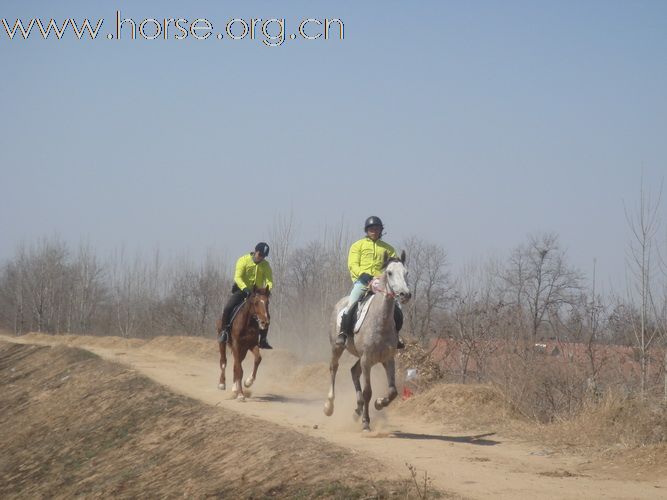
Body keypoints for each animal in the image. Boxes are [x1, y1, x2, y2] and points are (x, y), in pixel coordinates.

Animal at [324, 252, 412, 432]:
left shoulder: (387, 360)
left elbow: (393, 391)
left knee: (353, 371)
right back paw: (329, 406)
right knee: (333, 368)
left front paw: (379, 403)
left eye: (406, 273)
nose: (405, 294)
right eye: (389, 273)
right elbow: (367, 392)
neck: (380, 322)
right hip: (337, 348)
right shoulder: (366, 360)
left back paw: (357, 410)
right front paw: (366, 422)